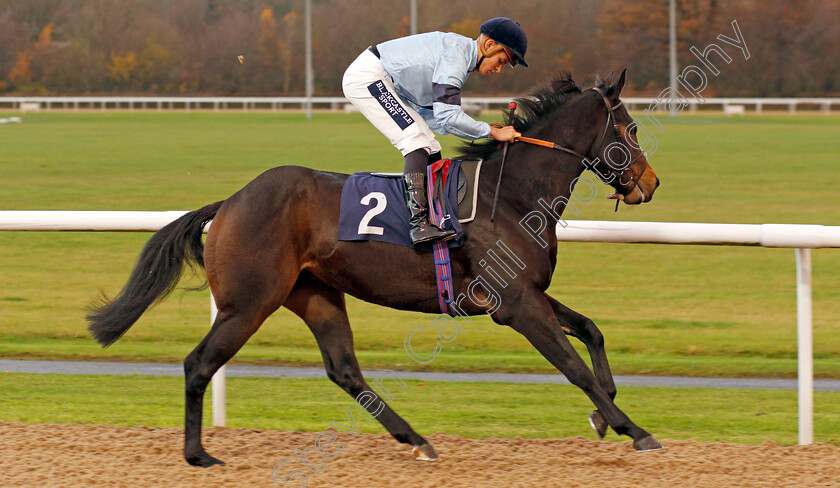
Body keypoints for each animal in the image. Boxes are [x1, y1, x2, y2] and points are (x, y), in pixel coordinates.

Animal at [87, 67, 664, 466]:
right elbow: (572, 366)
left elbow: (591, 331)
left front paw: (604, 414)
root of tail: (230, 202)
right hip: (248, 302)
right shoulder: (516, 305)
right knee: (198, 363)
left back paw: (418, 439)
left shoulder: (528, 294)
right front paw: (634, 430)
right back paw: (198, 454)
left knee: (344, 369)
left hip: (315, 294)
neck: (515, 196)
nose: (650, 183)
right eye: (631, 128)